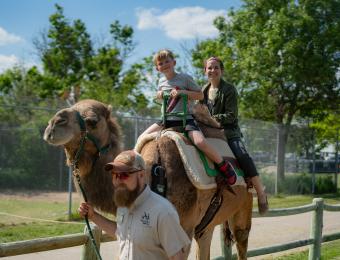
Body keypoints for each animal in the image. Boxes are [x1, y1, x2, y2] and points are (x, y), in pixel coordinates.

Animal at [43, 99, 252, 260]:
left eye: (92, 121)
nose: (53, 124)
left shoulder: (183, 229)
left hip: (244, 204)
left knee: (241, 239)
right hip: (206, 225)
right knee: (206, 241)